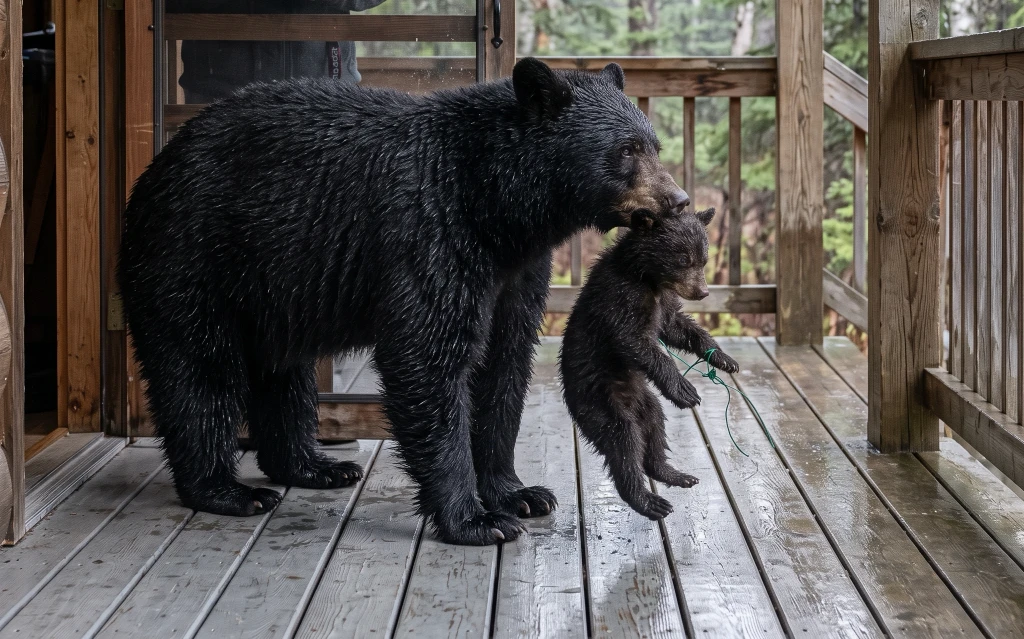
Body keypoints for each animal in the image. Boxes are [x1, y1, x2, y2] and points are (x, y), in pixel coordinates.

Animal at [118, 57, 691, 545]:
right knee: (200, 368)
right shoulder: (432, 231)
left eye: (654, 144)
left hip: (275, 289)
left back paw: (316, 466)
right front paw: (475, 519)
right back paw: (228, 490)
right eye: (626, 150)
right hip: (195, 256)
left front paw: (519, 493)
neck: (495, 205)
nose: (678, 199)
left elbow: (505, 361)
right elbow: (429, 356)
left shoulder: (516, 271)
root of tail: (155, 168)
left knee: (284, 373)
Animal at [559, 208, 739, 520]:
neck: (647, 277)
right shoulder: (619, 296)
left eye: (703, 259)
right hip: (598, 401)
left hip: (644, 399)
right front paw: (684, 389)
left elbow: (677, 326)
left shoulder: (664, 300)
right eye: (683, 259)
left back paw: (672, 473)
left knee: (655, 424)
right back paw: (646, 499)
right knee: (623, 440)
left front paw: (722, 358)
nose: (702, 292)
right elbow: (633, 340)